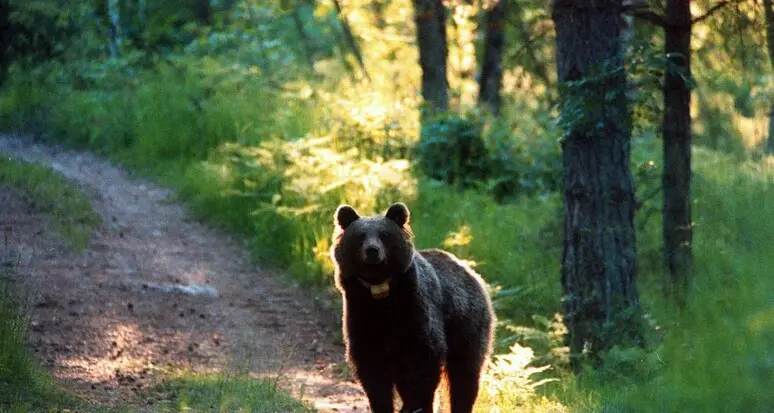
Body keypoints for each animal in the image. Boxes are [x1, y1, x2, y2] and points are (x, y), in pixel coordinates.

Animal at [330, 202, 495, 413]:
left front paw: (418, 405)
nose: (372, 250)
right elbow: (372, 368)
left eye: (384, 234)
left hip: (466, 324)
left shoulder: (414, 312)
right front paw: (384, 405)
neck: (381, 293)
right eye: (360, 236)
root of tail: (471, 272)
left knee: (465, 373)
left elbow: (425, 359)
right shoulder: (361, 313)